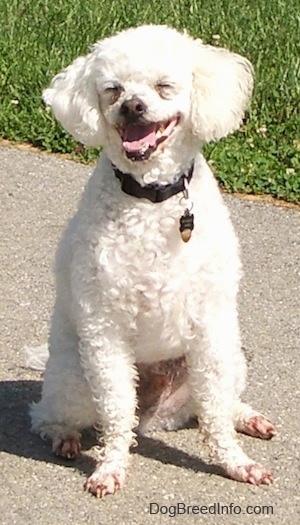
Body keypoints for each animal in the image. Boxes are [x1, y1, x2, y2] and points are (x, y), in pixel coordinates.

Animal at [29, 24, 276, 496]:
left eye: (163, 86)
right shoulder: (105, 329)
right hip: (74, 377)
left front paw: (236, 463)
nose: (132, 106)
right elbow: (115, 412)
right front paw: (110, 468)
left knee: (214, 405)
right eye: (112, 90)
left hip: (232, 356)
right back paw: (65, 438)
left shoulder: (212, 325)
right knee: (51, 416)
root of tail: (154, 419)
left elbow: (216, 413)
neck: (151, 196)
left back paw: (248, 418)